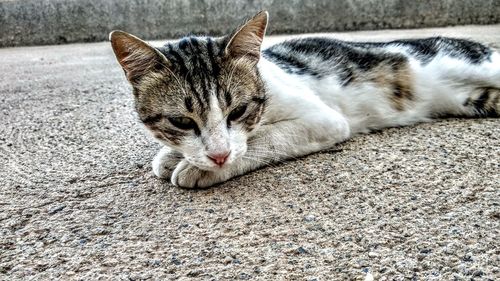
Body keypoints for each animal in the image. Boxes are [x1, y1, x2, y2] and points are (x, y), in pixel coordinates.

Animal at [110, 10, 500, 187]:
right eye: (181, 121)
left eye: (239, 110)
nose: (218, 156)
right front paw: (172, 156)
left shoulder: (324, 120)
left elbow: (265, 140)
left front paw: (198, 168)